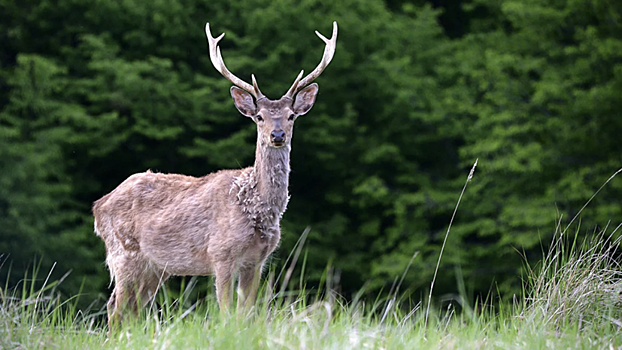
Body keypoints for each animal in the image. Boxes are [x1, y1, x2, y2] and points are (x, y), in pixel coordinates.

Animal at [91, 21, 342, 328]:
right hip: (123, 252)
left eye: (291, 116)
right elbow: (226, 312)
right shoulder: (220, 254)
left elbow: (247, 314)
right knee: (115, 308)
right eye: (259, 117)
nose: (277, 135)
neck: (256, 208)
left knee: (132, 309)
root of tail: (98, 205)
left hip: (155, 266)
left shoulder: (257, 261)